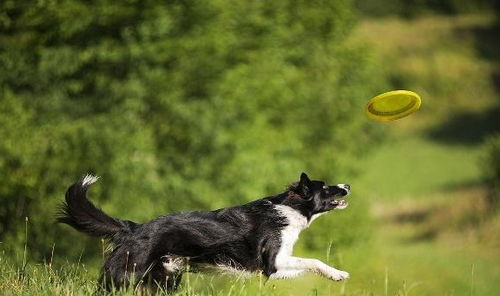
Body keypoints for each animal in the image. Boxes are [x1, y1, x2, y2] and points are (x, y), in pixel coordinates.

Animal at [56, 172, 350, 290]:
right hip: (128, 275)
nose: (347, 185)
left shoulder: (276, 267)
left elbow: (308, 264)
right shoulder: (273, 262)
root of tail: (135, 228)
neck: (290, 208)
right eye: (325, 188)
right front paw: (338, 274)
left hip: (163, 280)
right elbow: (314, 260)